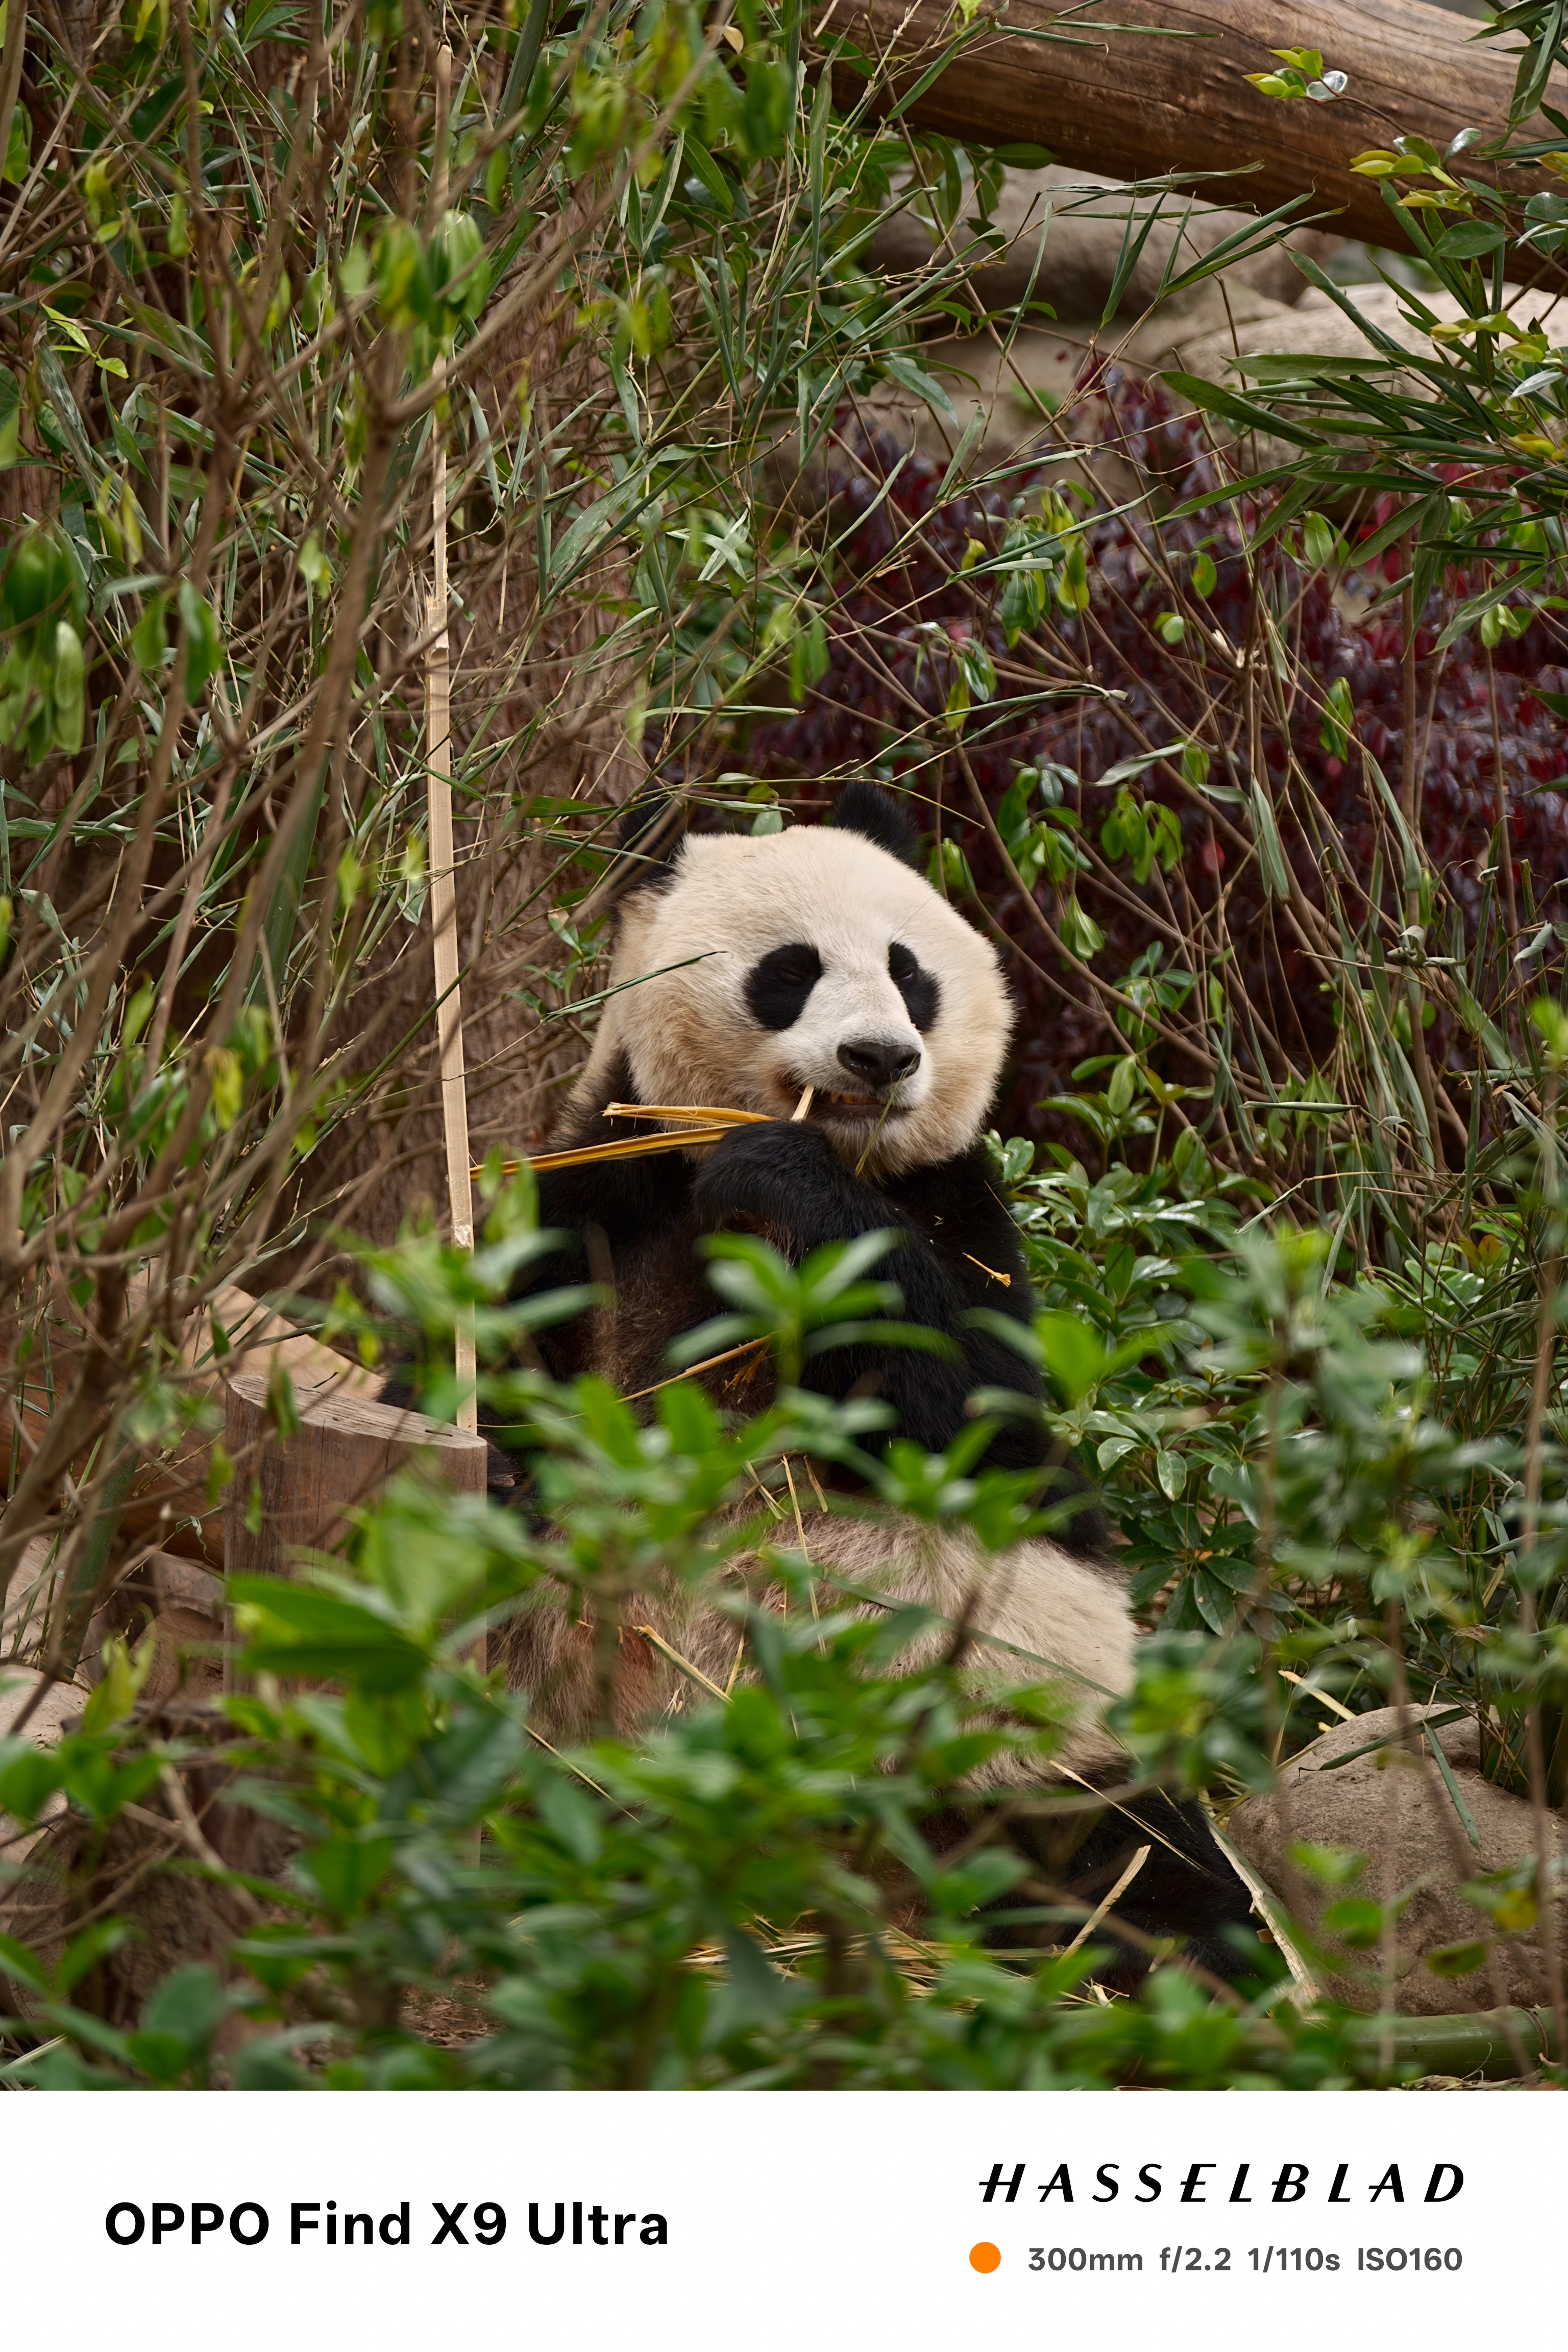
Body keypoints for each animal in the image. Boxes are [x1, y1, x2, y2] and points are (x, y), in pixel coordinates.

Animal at [488, 780, 1256, 1985]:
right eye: (791, 968)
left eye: (910, 972)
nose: (881, 1058)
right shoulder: (600, 1200)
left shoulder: (963, 1221)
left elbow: (983, 1429)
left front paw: (780, 1170)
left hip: (1041, 1753)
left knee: (1149, 1862)